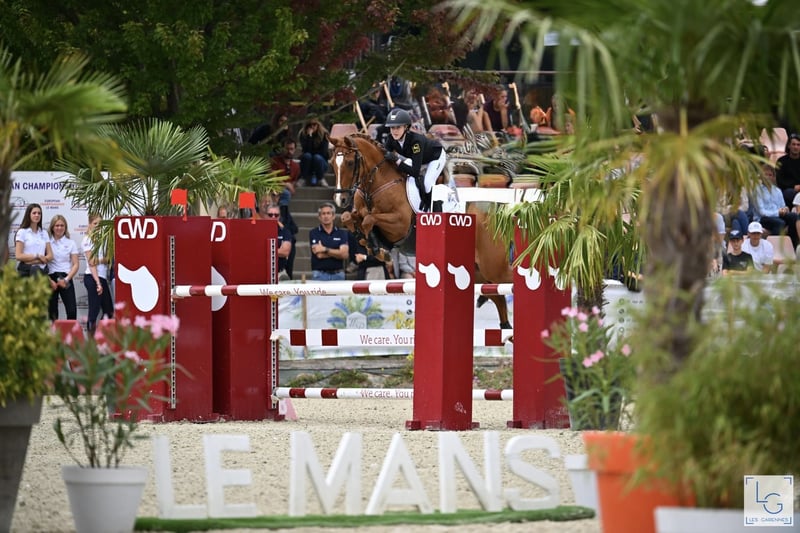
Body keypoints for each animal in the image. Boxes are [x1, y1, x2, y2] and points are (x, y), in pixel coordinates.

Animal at [329, 133, 513, 329]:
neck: (376, 185)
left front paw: (377, 247)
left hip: (493, 266)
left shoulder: (400, 224)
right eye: (332, 162)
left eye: (349, 162)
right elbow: (348, 217)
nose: (340, 199)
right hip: (478, 273)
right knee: (498, 297)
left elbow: (369, 220)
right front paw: (370, 243)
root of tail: (498, 215)